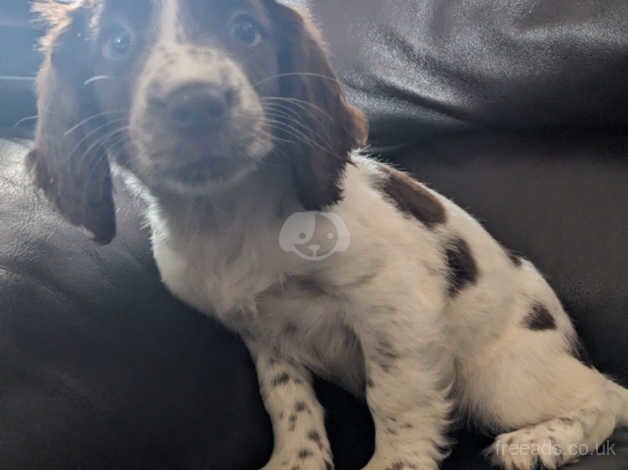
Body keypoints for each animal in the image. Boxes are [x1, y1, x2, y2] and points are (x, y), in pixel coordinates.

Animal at [27, 0, 624, 470]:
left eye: (246, 29)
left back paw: (538, 441)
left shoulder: (394, 302)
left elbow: (396, 397)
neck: (230, 214)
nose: (194, 103)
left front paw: (394, 464)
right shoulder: (259, 330)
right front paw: (297, 459)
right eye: (117, 44)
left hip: (497, 377)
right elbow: (286, 397)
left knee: (606, 396)